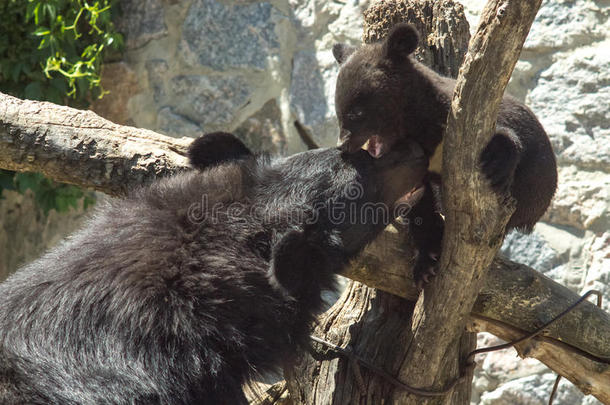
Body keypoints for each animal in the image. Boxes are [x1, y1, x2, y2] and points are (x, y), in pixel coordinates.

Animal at [332, 23, 556, 286]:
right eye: (338, 112)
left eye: (356, 113)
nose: (343, 146)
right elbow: (419, 205)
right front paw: (425, 265)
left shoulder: (459, 120)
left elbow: (501, 135)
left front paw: (495, 167)